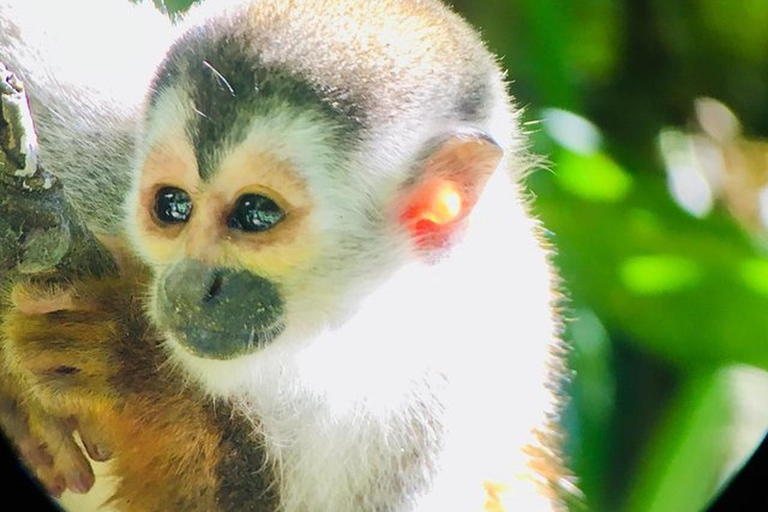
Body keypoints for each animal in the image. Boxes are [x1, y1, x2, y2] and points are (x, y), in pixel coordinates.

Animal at [0, 0, 568, 510]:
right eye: (172, 205)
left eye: (256, 213)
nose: (188, 284)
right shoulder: (93, 139)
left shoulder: (449, 390)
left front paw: (133, 371)